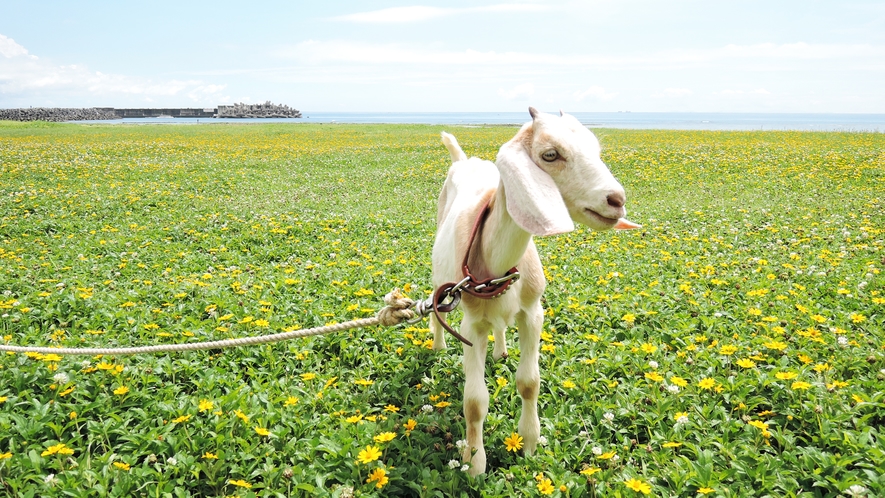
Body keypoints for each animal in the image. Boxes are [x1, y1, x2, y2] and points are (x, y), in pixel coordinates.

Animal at [428, 106, 636, 474]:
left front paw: (528, 444)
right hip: (441, 272)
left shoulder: (533, 312)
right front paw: (475, 463)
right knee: (438, 306)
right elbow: (475, 401)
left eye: (596, 149)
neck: (496, 267)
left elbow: (529, 383)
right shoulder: (470, 324)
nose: (616, 200)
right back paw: (438, 346)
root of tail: (463, 160)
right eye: (550, 154)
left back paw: (500, 351)